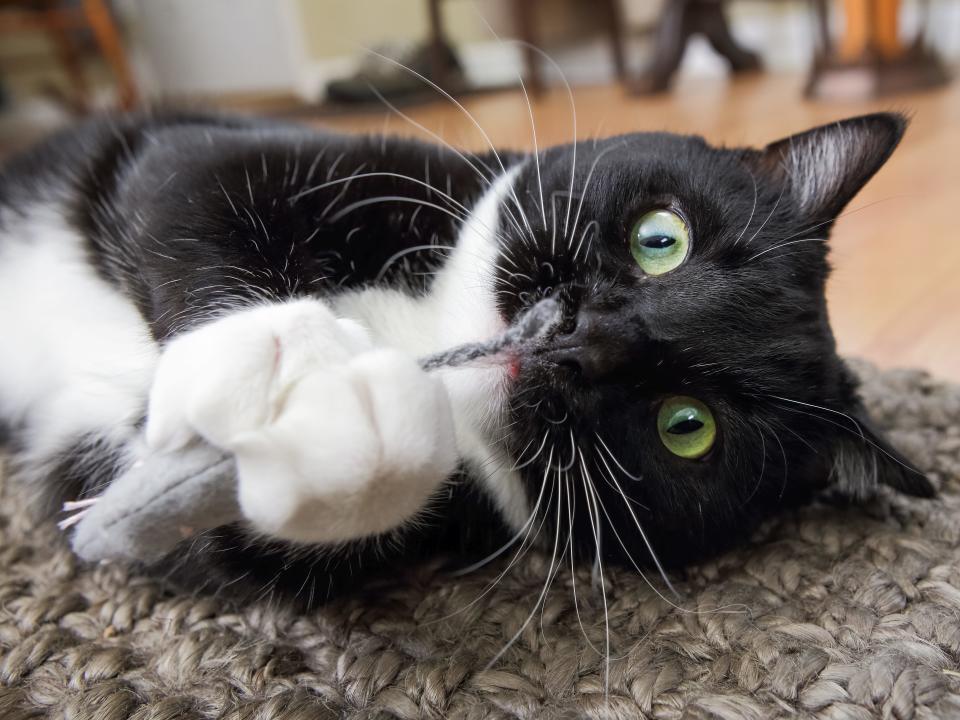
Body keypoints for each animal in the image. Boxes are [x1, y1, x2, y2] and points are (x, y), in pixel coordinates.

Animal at [0, 111, 928, 608]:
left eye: (688, 428)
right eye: (662, 239)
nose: (580, 338)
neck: (422, 328)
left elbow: (236, 542)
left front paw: (353, 428)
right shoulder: (239, 152)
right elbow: (193, 184)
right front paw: (265, 357)